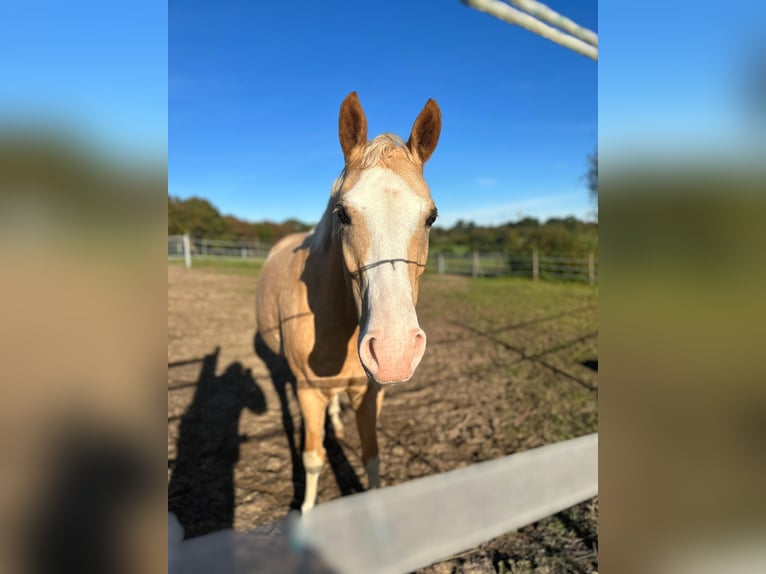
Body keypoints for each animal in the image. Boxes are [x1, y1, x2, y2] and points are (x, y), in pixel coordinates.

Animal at [255, 91, 440, 512]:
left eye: (431, 217)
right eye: (342, 214)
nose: (393, 351)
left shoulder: (370, 393)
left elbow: (371, 457)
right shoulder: (308, 391)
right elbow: (312, 458)